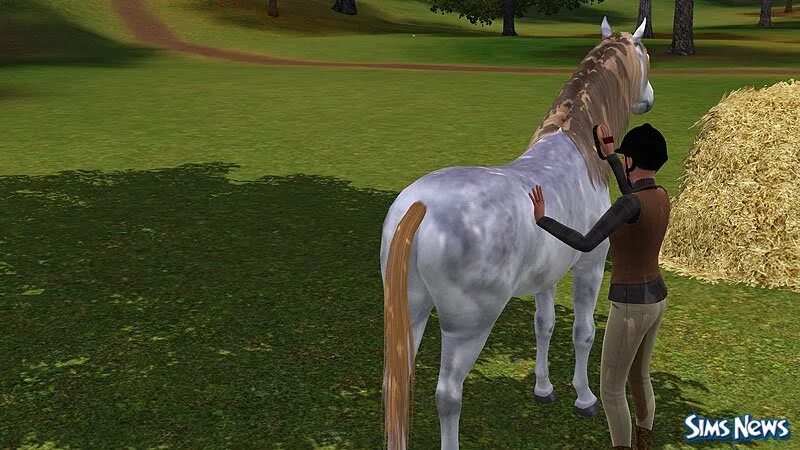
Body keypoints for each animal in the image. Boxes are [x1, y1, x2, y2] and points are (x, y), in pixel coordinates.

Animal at [380, 17, 653, 450]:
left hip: (410, 308)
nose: (649, 100)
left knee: (396, 381)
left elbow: (544, 325)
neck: (576, 150)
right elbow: (583, 332)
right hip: (467, 328)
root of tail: (420, 206)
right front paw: (585, 398)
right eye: (646, 56)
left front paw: (544, 389)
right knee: (447, 395)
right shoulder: (590, 264)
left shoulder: (546, 276)